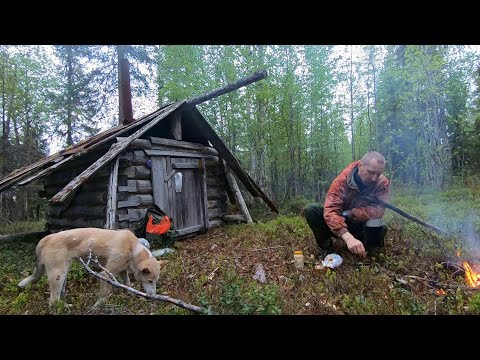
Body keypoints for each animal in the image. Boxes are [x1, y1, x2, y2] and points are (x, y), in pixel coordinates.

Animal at [18, 228, 166, 306]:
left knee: (59, 297)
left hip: (63, 275)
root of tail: (44, 239)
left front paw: (131, 295)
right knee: (53, 301)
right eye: (150, 281)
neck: (132, 249)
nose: (154, 297)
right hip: (58, 275)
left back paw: (66, 305)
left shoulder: (122, 271)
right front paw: (98, 307)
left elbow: (127, 284)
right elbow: (103, 295)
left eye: (155, 281)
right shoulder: (106, 274)